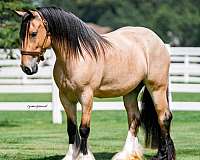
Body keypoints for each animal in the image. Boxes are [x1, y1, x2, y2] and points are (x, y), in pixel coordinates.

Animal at [15, 6, 175, 160]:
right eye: (21, 34)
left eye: (33, 33)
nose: (26, 68)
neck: (75, 56)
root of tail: (157, 40)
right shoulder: (66, 98)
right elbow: (71, 129)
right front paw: (70, 156)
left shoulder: (86, 96)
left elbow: (84, 128)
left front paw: (84, 156)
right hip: (131, 92)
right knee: (135, 119)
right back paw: (127, 154)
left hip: (157, 88)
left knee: (163, 117)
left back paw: (162, 155)